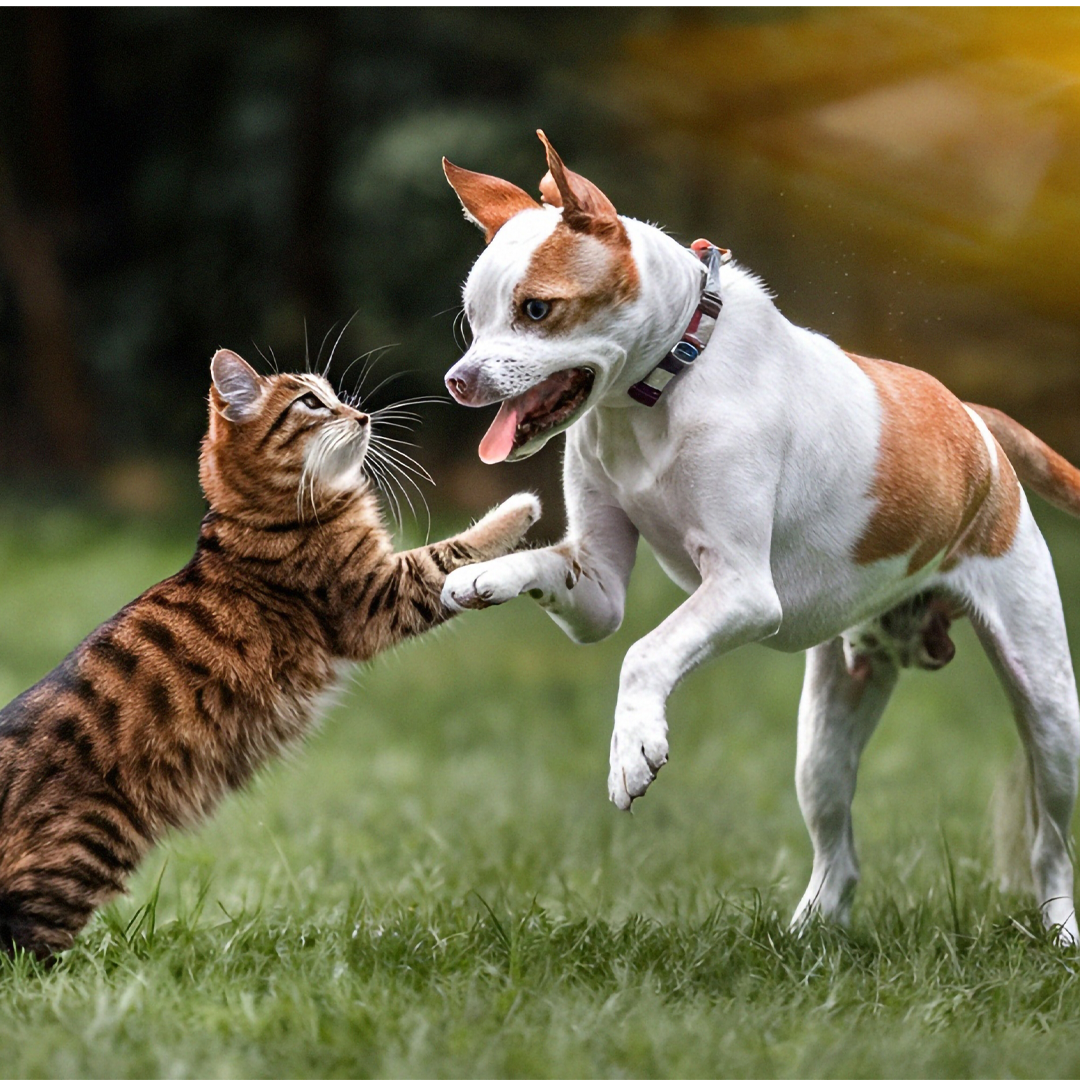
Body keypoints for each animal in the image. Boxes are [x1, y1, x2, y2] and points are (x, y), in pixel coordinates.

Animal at [0, 349, 540, 959]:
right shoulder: (378, 596)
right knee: (26, 948)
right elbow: (454, 552)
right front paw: (521, 507)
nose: (360, 415)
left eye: (335, 396)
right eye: (310, 402)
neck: (256, 515)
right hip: (81, 852)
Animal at [436, 130, 1080, 941]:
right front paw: (482, 576)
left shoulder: (742, 591)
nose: (458, 381)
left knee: (1050, 841)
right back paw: (808, 933)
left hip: (1052, 715)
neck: (659, 389)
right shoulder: (601, 591)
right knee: (840, 856)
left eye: (536, 309)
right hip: (826, 738)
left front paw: (632, 749)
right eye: (473, 318)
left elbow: (646, 653)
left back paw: (1060, 932)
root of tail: (975, 421)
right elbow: (560, 575)